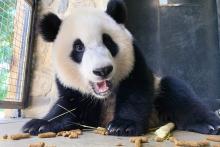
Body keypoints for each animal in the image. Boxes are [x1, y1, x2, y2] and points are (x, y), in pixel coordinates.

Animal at [22, 0, 220, 136]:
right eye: (78, 48)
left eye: (108, 41)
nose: (102, 70)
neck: (104, 95)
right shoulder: (70, 86)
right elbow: (67, 106)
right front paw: (38, 124)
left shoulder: (135, 61)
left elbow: (135, 92)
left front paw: (122, 125)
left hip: (160, 92)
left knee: (177, 91)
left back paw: (209, 124)